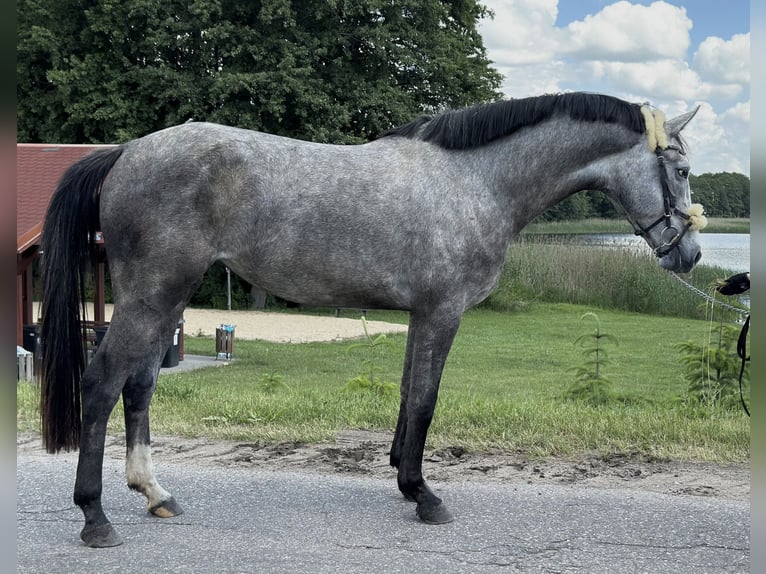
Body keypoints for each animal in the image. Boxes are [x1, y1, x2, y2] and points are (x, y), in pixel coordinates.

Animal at [39, 92, 705, 547]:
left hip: (165, 301)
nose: (691, 255)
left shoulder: (420, 315)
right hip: (150, 297)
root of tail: (127, 152)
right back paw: (95, 517)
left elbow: (410, 395)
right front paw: (424, 495)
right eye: (681, 170)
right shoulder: (442, 313)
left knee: (139, 388)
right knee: (101, 386)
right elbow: (426, 401)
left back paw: (156, 494)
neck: (476, 182)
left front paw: (403, 478)